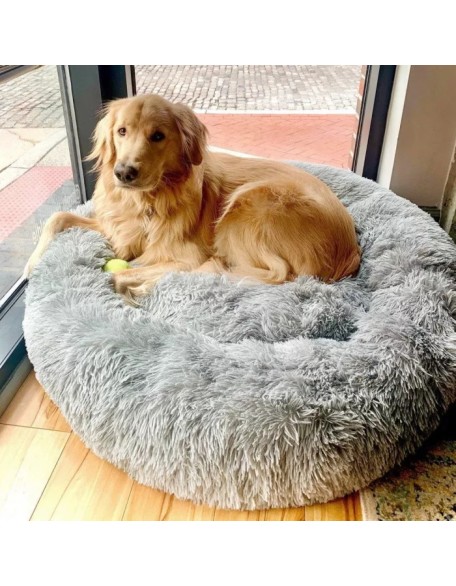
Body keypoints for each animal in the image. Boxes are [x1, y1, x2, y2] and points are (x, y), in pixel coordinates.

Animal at [25, 93, 360, 298]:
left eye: (158, 136)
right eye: (121, 131)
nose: (124, 173)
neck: (146, 202)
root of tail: (349, 249)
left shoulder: (185, 255)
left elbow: (125, 272)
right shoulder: (113, 226)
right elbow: (58, 216)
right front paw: (33, 263)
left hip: (244, 210)